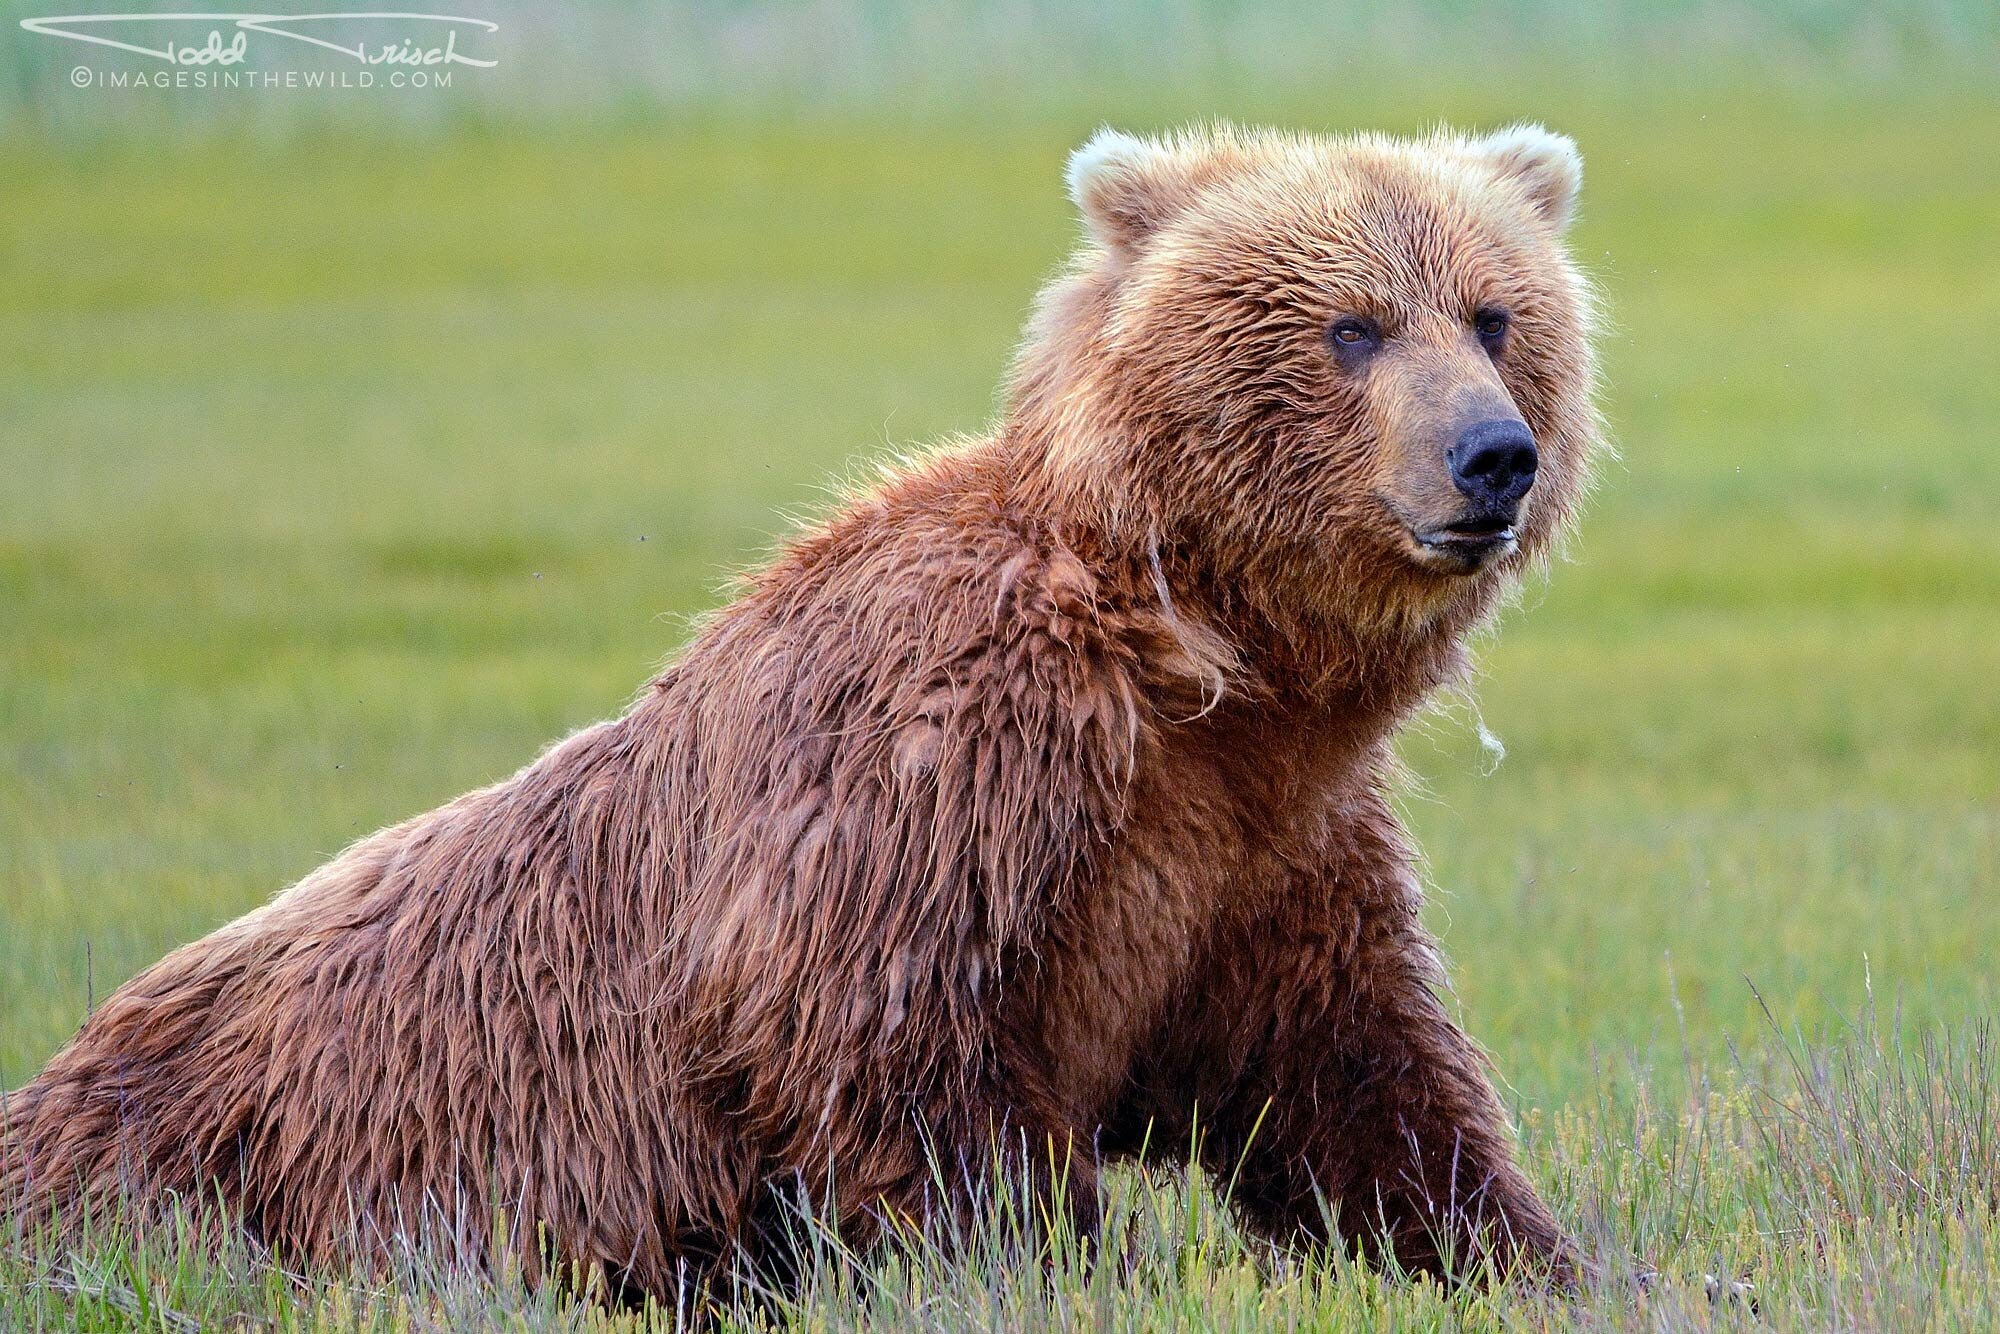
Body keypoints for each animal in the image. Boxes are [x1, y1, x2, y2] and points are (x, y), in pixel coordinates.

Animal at [0, 128, 1592, 1304]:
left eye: (1496, 314)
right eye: (1349, 326)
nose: (1490, 455)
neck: (1198, 655)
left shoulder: (1261, 849)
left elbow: (1354, 1076)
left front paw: (1528, 1254)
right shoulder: (950, 775)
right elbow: (896, 1057)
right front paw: (1073, 1264)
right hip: (229, 1141)